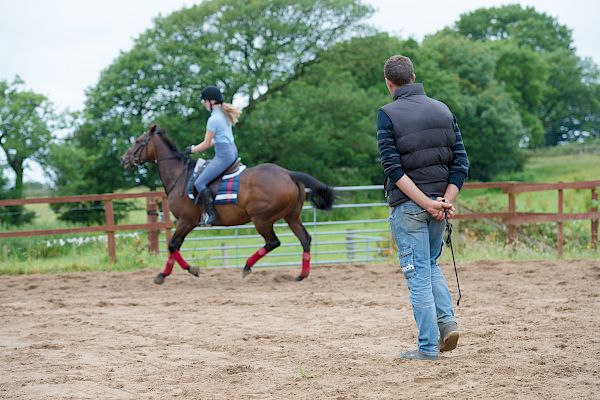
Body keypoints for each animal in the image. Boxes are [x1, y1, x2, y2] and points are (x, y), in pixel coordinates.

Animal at [119, 125, 336, 284]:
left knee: (273, 242)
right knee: (305, 239)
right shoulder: (183, 222)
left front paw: (191, 270)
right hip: (291, 217)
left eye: (138, 141)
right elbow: (174, 246)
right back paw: (302, 275)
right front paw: (164, 274)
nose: (124, 159)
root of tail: (288, 174)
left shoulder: (186, 221)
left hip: (262, 219)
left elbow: (172, 245)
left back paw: (247, 267)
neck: (180, 176)